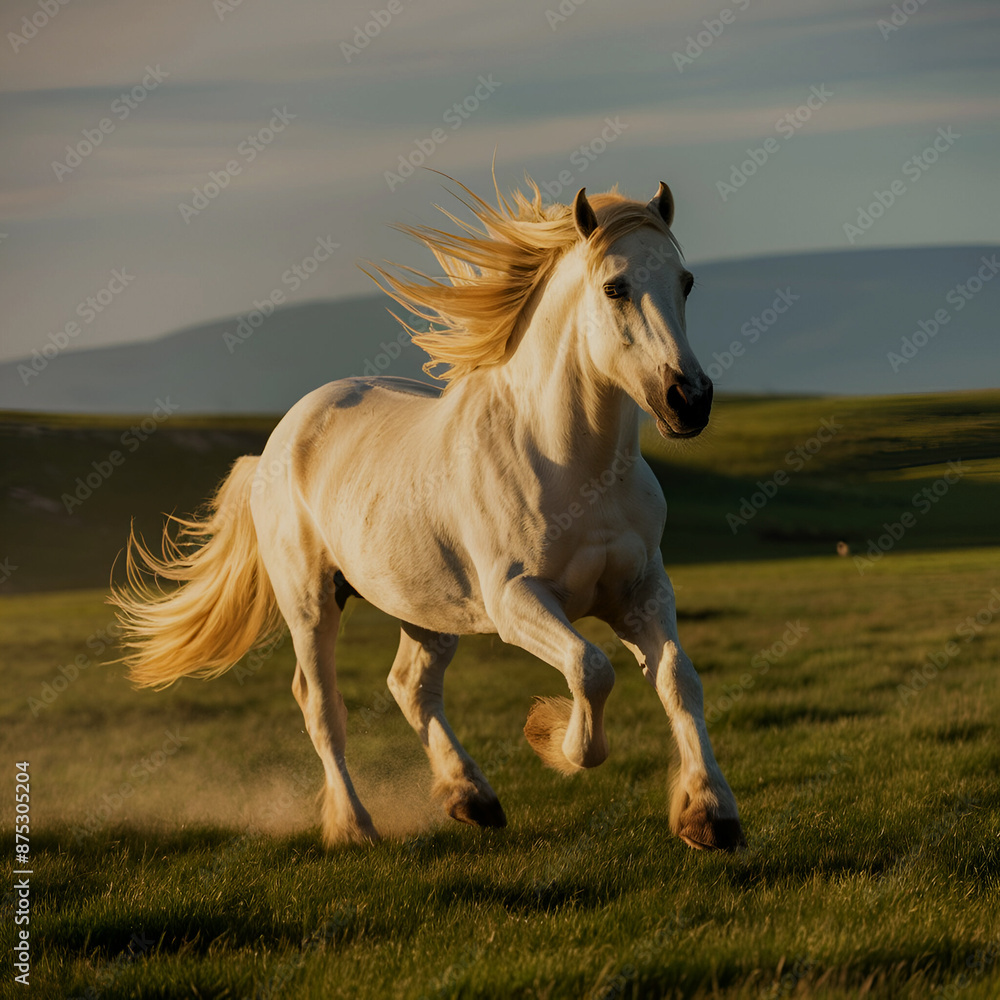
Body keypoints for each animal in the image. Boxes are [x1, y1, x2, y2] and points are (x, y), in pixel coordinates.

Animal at [112, 176, 745, 852]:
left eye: (686, 281)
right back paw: (357, 826)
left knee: (410, 685)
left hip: (425, 606)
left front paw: (711, 816)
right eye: (615, 287)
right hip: (310, 602)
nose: (689, 400)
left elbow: (679, 680)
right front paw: (555, 740)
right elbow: (590, 668)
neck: (574, 468)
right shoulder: (515, 600)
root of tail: (278, 443)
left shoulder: (642, 590)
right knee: (322, 706)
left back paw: (472, 797)